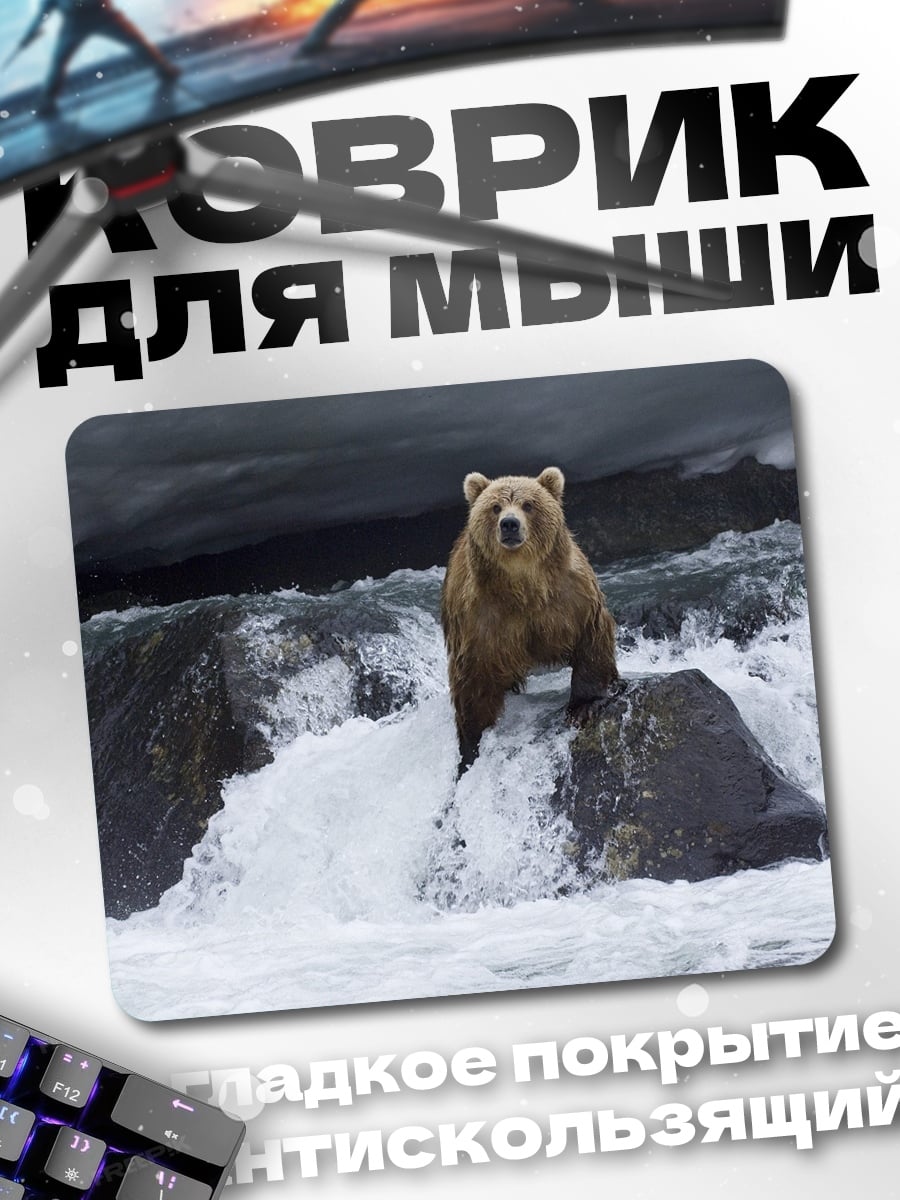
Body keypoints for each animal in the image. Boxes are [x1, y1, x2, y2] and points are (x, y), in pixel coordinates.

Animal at [441, 466, 618, 772]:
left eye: (528, 504)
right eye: (495, 506)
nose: (509, 524)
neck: (523, 586)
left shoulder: (571, 597)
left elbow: (591, 639)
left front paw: (584, 706)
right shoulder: (479, 619)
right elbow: (472, 679)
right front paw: (471, 744)